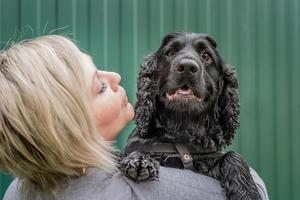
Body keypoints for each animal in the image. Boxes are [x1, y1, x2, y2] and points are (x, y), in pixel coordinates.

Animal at [120, 32, 262, 199]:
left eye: (206, 56)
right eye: (170, 52)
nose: (187, 67)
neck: (183, 128)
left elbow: (233, 157)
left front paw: (247, 193)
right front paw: (140, 161)